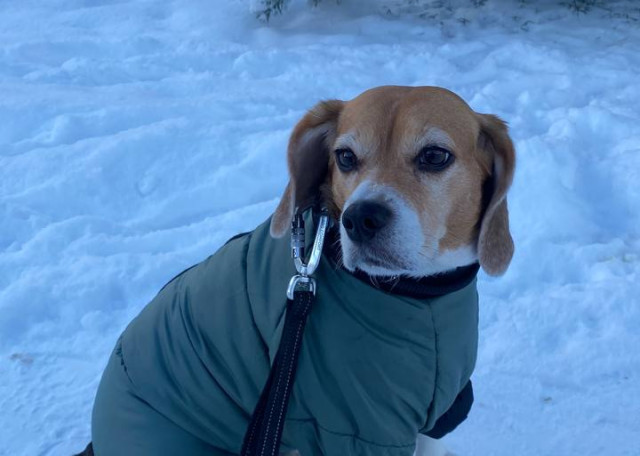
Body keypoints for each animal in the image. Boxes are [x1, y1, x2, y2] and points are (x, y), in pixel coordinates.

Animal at [83, 85, 515, 456]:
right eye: (345, 157)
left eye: (434, 156)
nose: (360, 219)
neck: (421, 298)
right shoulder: (357, 432)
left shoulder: (440, 413)